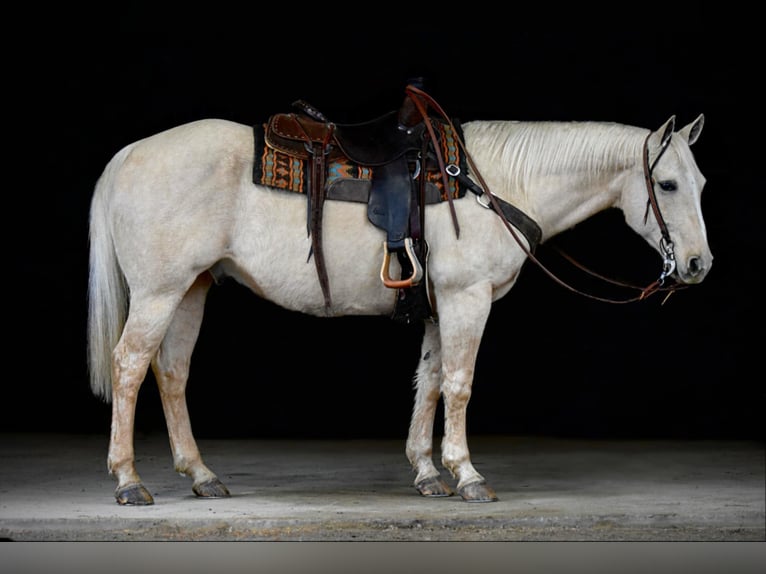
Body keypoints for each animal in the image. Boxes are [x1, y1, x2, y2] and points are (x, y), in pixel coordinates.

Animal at [85, 88, 712, 506]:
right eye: (668, 184)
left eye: (701, 183)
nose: (698, 265)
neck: (495, 185)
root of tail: (130, 153)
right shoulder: (467, 298)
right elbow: (459, 385)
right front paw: (467, 475)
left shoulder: (439, 304)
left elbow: (429, 381)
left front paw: (429, 473)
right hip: (158, 292)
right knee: (129, 366)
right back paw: (128, 480)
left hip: (190, 288)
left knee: (170, 372)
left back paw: (201, 475)